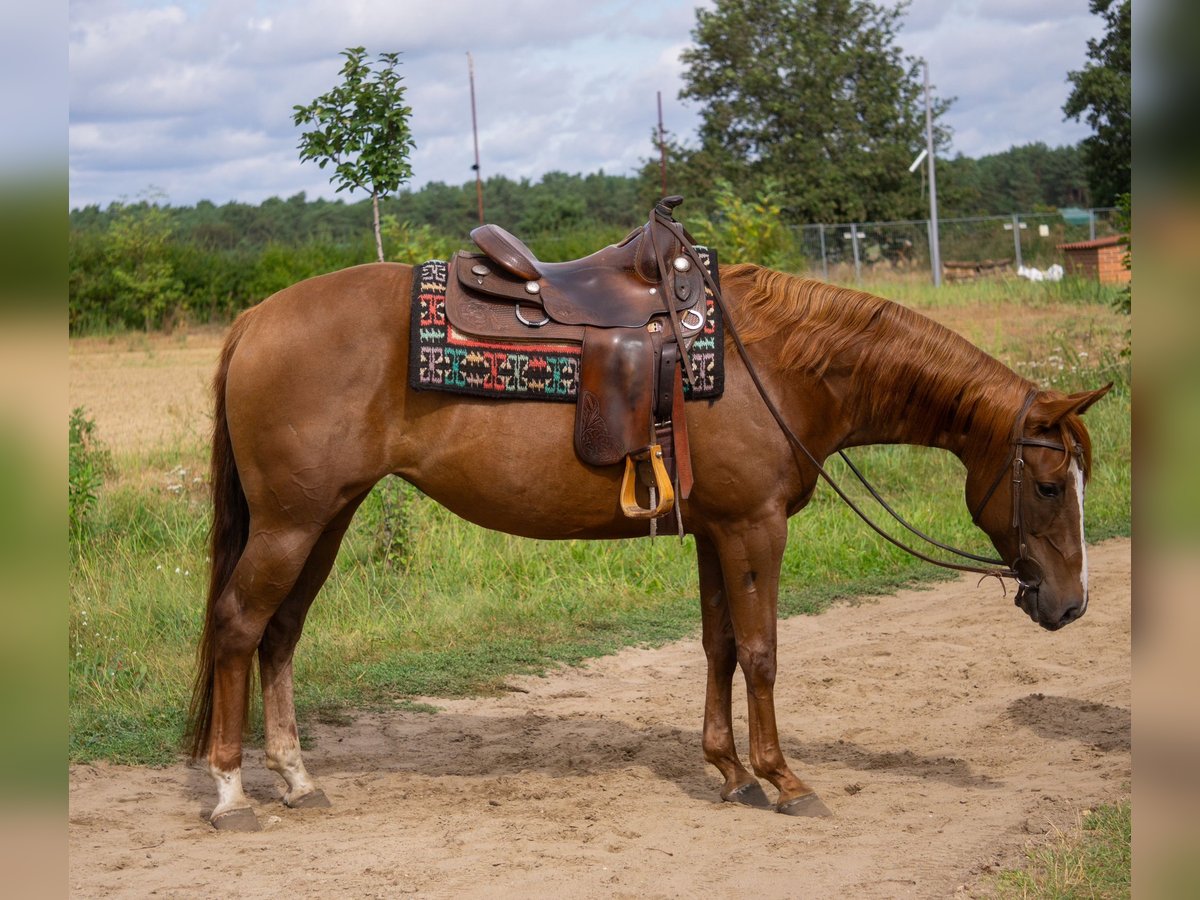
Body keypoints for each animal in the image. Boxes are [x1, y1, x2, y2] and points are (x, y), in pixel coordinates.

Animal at [182, 260, 1108, 830]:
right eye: (1049, 485)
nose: (1071, 606)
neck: (780, 364)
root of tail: (256, 319)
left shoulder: (718, 528)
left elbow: (719, 645)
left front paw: (729, 772)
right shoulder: (756, 526)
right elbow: (763, 651)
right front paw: (784, 779)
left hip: (325, 518)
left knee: (280, 635)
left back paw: (298, 780)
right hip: (293, 522)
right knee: (237, 626)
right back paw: (231, 793)